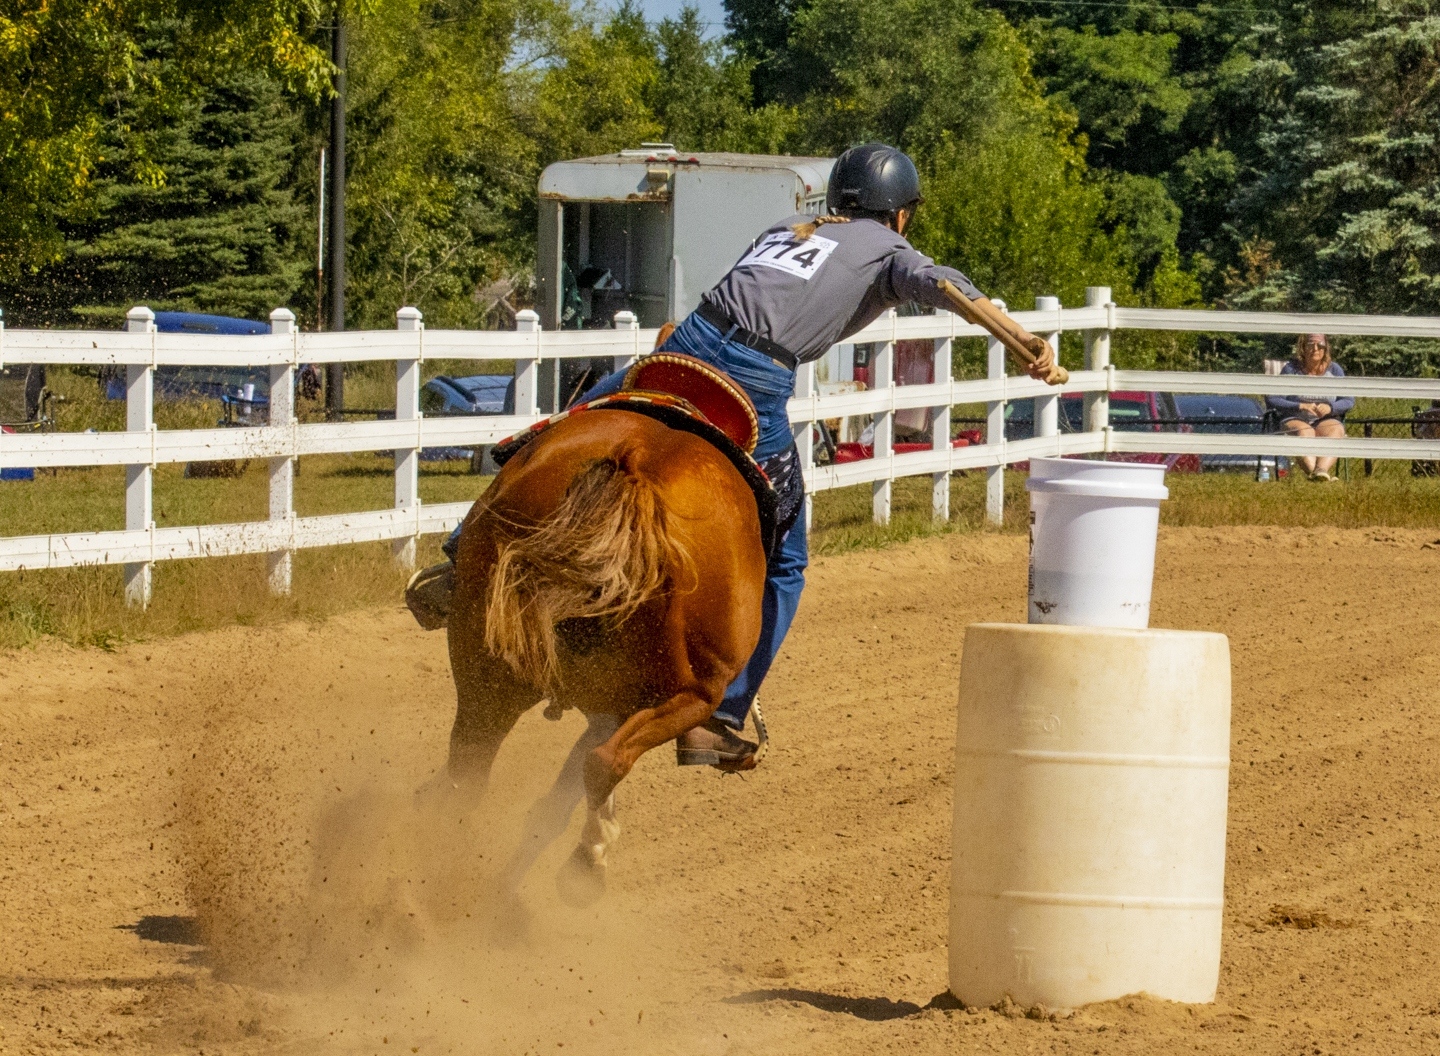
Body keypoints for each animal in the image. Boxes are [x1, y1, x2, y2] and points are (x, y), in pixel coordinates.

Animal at [424, 401, 769, 905]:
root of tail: (636, 466)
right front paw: (596, 846)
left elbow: (554, 803)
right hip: (691, 695)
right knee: (606, 762)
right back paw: (583, 866)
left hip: (485, 667)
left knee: (467, 770)